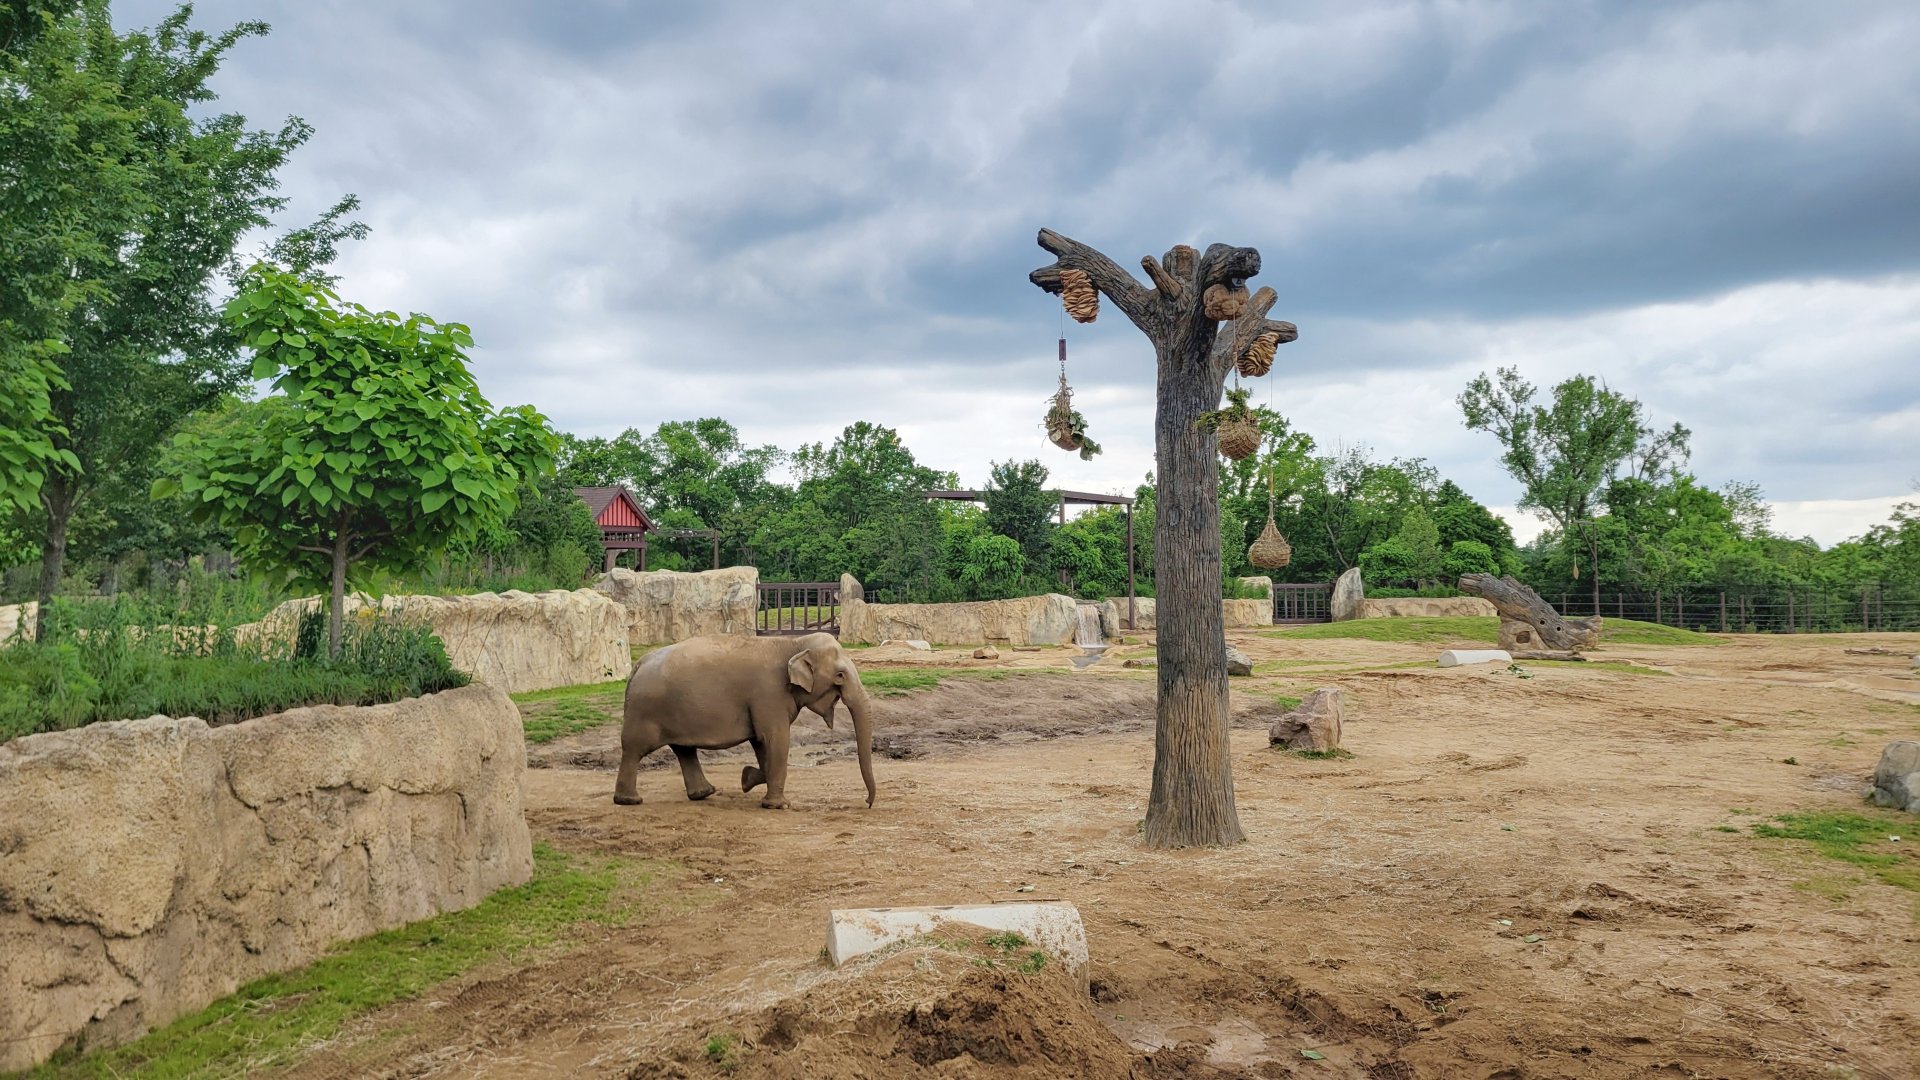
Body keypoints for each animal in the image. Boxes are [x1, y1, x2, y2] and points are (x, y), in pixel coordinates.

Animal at [613, 632, 876, 810]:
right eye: (840, 675)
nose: (867, 802)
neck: (794, 643)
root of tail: (638, 665)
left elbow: (761, 743)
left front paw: (747, 779)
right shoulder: (769, 695)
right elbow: (776, 739)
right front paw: (778, 805)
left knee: (683, 749)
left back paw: (704, 793)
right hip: (645, 710)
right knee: (635, 748)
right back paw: (629, 800)